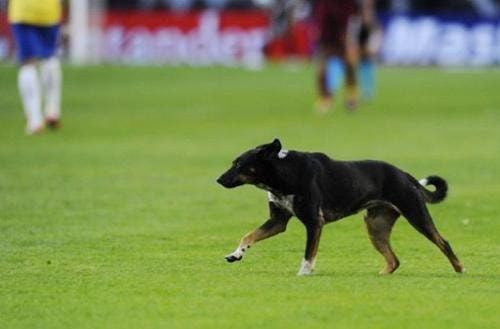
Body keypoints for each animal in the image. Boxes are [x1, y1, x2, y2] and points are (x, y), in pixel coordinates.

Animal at [219, 138, 464, 274]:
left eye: (239, 164)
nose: (218, 179)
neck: (284, 174)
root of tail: (403, 174)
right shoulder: (278, 221)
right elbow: (248, 236)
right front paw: (236, 254)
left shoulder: (314, 222)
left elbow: (309, 253)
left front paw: (304, 273)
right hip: (375, 227)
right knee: (394, 261)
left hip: (416, 215)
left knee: (444, 242)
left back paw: (460, 269)